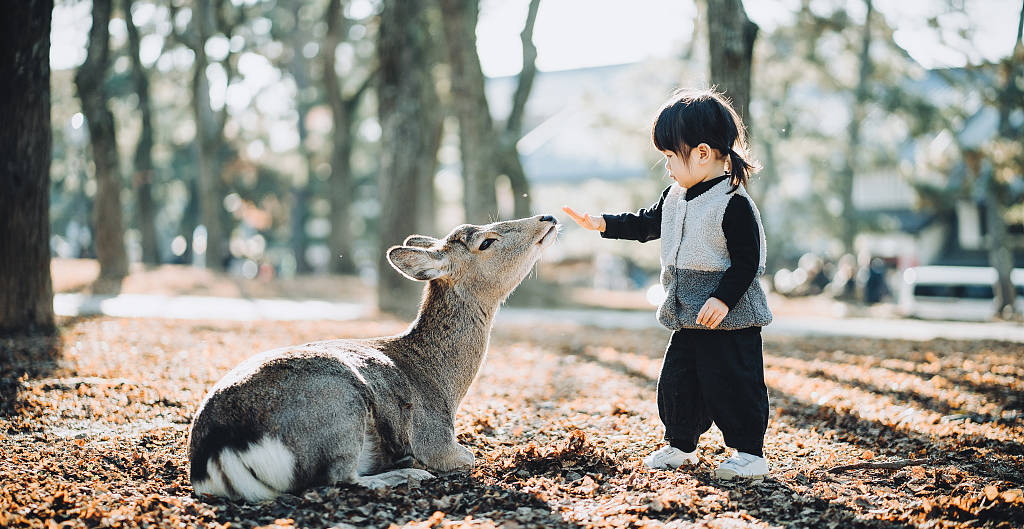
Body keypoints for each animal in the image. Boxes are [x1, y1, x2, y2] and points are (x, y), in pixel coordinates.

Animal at [188, 213, 565, 499]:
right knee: (338, 478)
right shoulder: (436, 439)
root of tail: (217, 455)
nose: (547, 217)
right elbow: (469, 456)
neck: (444, 386)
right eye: (485, 242)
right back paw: (408, 474)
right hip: (337, 409)